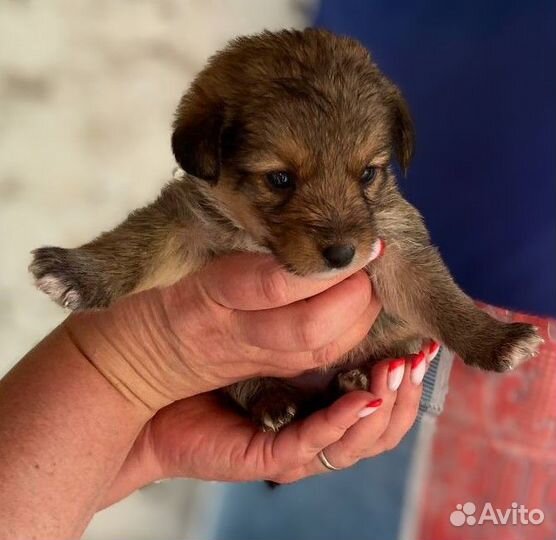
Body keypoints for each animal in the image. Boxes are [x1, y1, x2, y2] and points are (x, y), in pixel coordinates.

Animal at [30, 29, 544, 432]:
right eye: (279, 179)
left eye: (368, 174)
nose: (342, 256)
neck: (260, 242)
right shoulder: (187, 222)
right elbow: (137, 245)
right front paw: (76, 272)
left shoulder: (395, 244)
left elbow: (441, 299)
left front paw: (498, 340)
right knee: (248, 385)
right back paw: (275, 400)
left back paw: (361, 375)